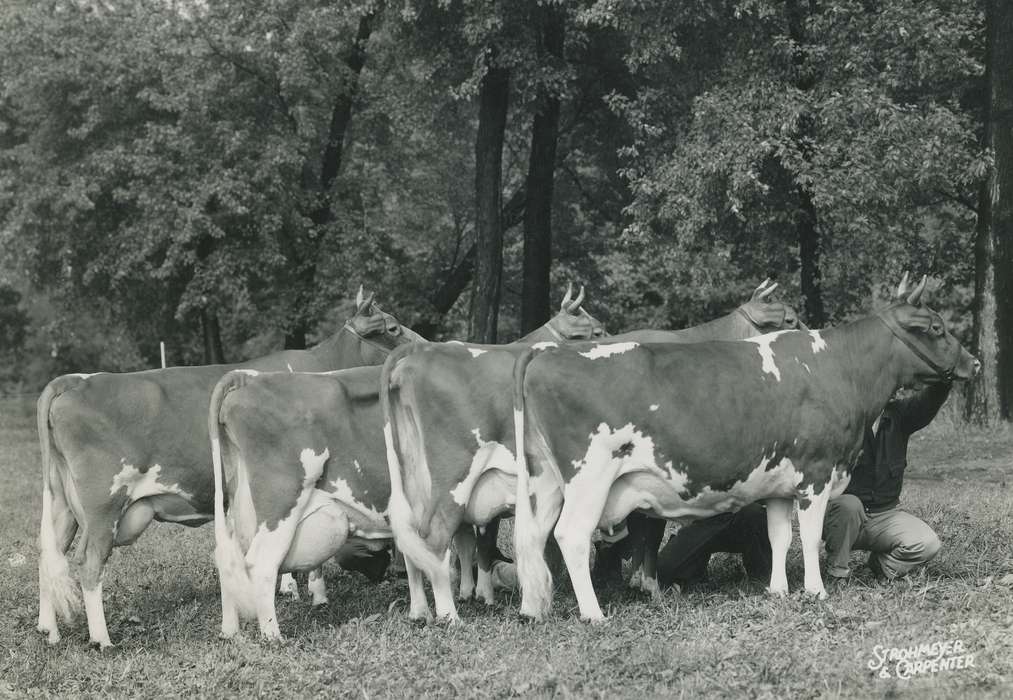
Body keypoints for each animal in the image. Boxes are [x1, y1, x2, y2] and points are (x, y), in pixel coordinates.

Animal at [36, 288, 420, 648]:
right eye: (392, 327)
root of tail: (73, 381)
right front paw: (305, 593)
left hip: (62, 503)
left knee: (47, 554)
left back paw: (48, 629)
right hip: (103, 505)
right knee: (88, 562)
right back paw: (102, 639)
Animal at [209, 286, 603, 639]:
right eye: (597, 332)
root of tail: (246, 381)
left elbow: (444, 552)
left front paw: (448, 601)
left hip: (244, 508)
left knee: (229, 558)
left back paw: (231, 628)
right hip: (283, 501)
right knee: (260, 562)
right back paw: (273, 634)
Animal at [381, 280, 802, 622]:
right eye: (791, 318)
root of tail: (414, 356)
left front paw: (637, 583)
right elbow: (650, 533)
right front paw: (649, 587)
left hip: (419, 480)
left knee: (417, 538)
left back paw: (426, 609)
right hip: (456, 477)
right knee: (439, 536)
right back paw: (457, 608)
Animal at [510, 274, 979, 621]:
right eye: (937, 329)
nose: (973, 363)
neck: (840, 369)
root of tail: (546, 354)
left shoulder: (779, 484)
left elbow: (779, 536)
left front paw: (777, 591)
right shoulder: (816, 473)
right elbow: (809, 537)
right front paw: (816, 591)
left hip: (544, 480)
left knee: (533, 537)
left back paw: (536, 610)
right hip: (589, 478)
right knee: (570, 535)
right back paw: (594, 614)